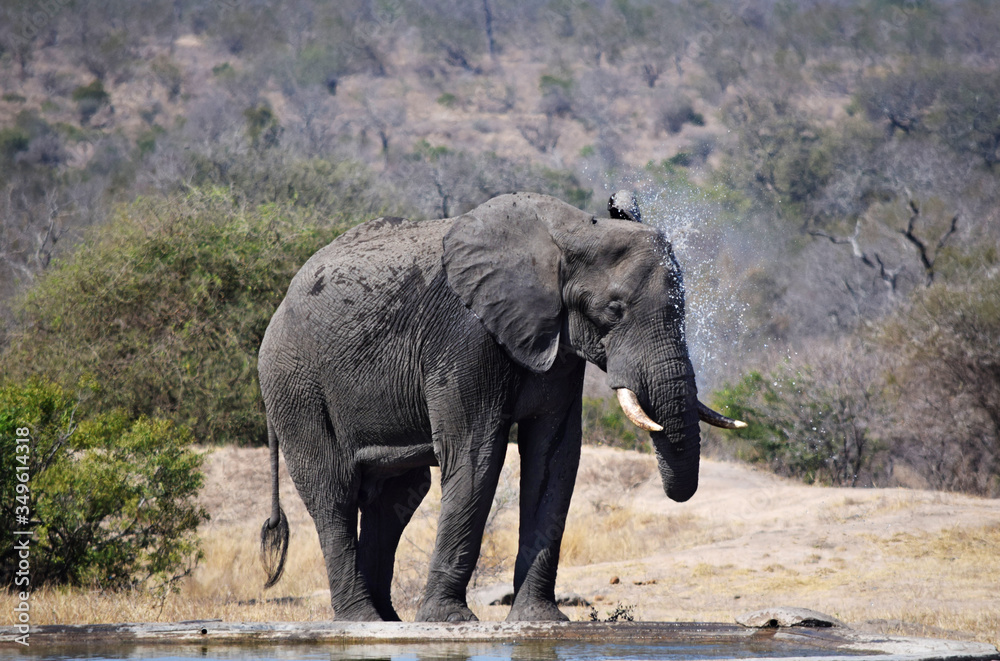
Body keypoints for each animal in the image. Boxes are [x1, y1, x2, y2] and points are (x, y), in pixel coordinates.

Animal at [257, 191, 744, 623]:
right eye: (614, 309)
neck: (570, 233)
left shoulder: (558, 347)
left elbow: (554, 457)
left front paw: (543, 620)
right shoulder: (465, 336)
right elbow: (477, 455)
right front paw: (450, 621)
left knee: (396, 498)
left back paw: (388, 621)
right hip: (294, 383)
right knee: (333, 490)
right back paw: (362, 620)